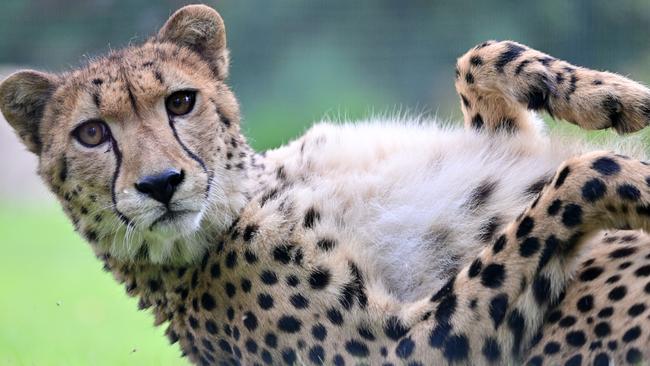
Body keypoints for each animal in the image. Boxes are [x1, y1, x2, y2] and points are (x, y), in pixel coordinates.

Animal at [1, 4, 648, 364]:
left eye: (181, 101)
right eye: (91, 134)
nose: (161, 183)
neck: (257, 190)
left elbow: (482, 55)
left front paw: (620, 97)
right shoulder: (400, 350)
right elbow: (579, 177)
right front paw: (636, 173)